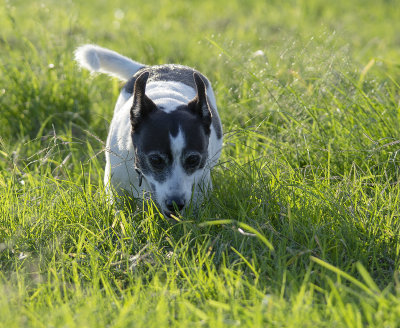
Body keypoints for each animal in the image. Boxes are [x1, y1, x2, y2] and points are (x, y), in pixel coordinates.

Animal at [74, 44, 223, 218]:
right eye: (155, 160)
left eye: (193, 159)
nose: (175, 204)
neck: (167, 102)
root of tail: (153, 67)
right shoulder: (115, 189)